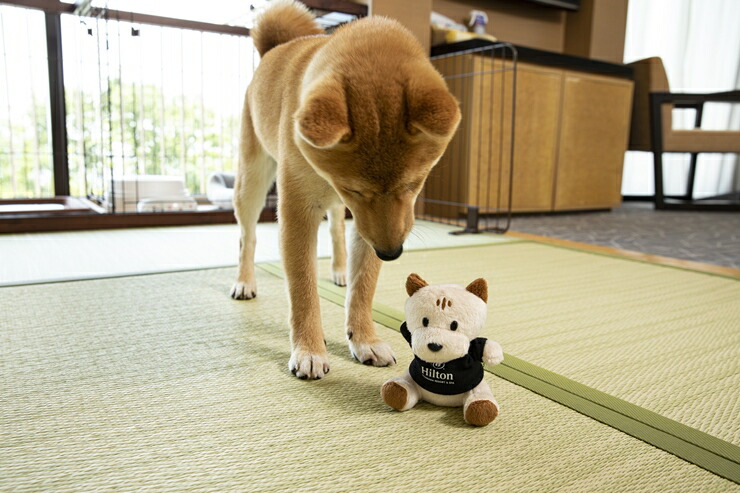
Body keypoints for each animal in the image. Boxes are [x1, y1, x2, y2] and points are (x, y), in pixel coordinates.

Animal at [233, 0, 462, 378]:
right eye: (352, 188)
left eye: (414, 184)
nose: (392, 253)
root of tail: (274, 49)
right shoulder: (300, 212)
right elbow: (303, 290)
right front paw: (310, 350)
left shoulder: (372, 224)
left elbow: (363, 286)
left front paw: (365, 339)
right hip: (252, 179)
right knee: (246, 237)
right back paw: (245, 281)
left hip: (338, 211)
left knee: (337, 231)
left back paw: (340, 271)